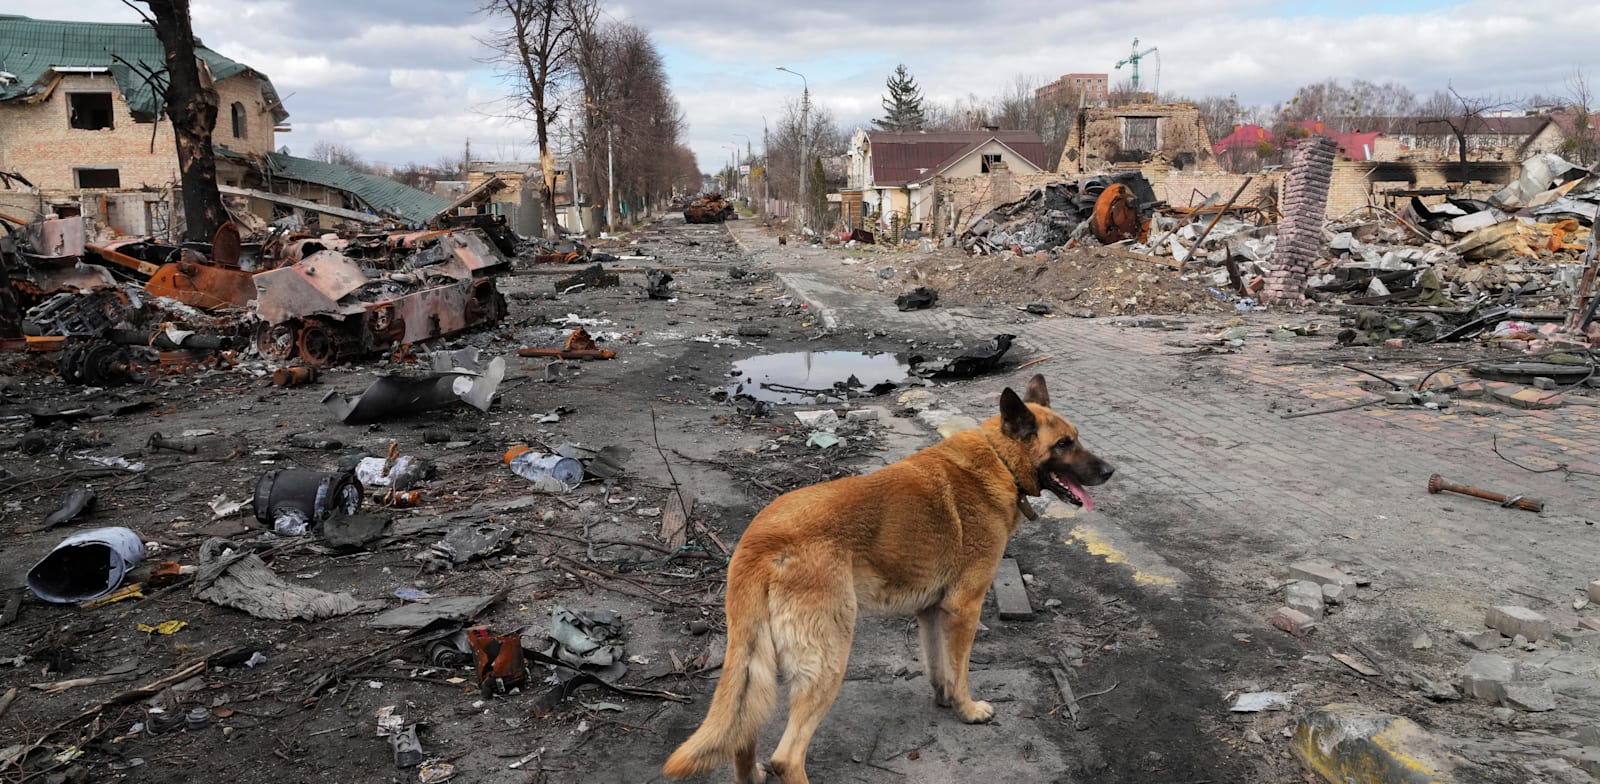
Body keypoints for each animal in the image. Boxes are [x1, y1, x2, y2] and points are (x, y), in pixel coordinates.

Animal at [662, 376, 1113, 780]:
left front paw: (945, 698)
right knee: (787, 758)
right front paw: (968, 709)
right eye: (1064, 444)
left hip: (760, 663)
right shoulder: (965, 609)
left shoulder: (931, 612)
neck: (998, 460)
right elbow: (961, 670)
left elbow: (939, 666)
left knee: (743, 734)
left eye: (1077, 438)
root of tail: (761, 540)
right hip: (829, 659)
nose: (1110, 470)